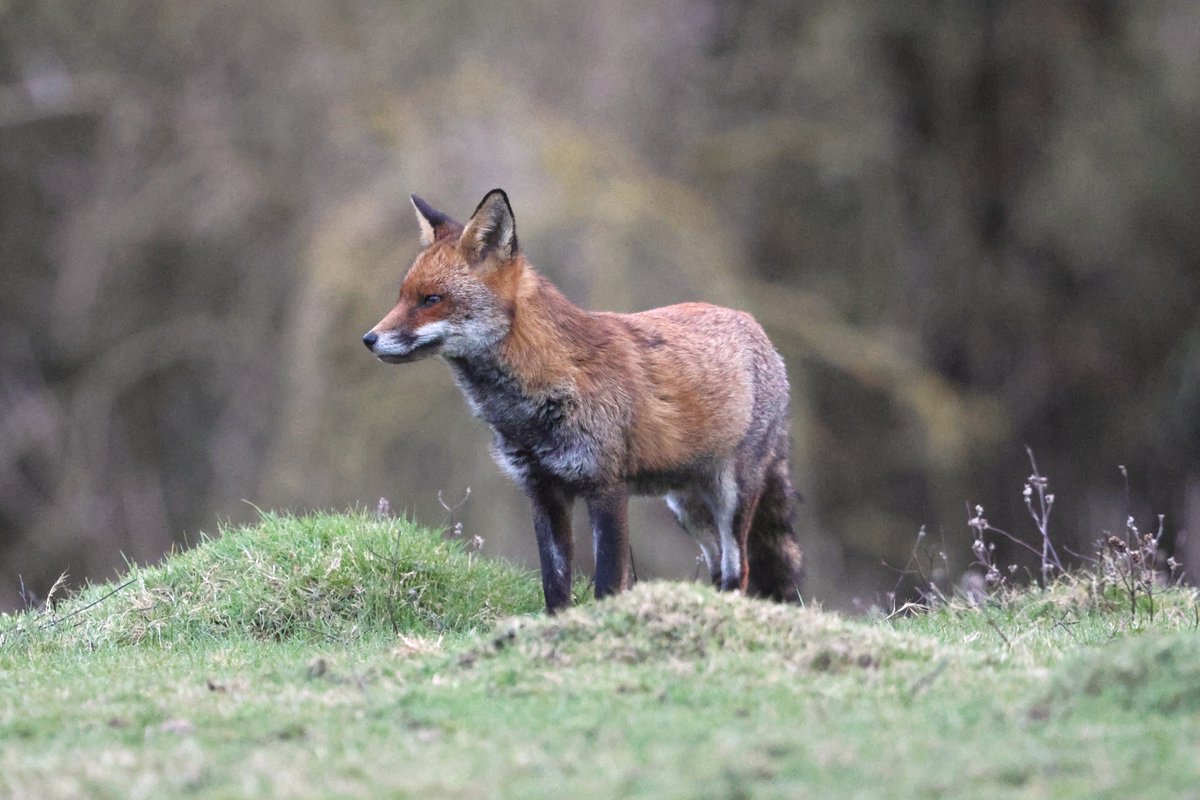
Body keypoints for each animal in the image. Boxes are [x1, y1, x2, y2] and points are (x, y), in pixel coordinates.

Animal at [363, 189, 803, 613]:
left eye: (431, 300)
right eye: (401, 297)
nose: (369, 339)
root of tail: (755, 326)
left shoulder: (606, 488)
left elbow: (607, 583)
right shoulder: (542, 491)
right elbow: (555, 586)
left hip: (732, 497)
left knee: (737, 569)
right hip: (688, 506)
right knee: (717, 568)